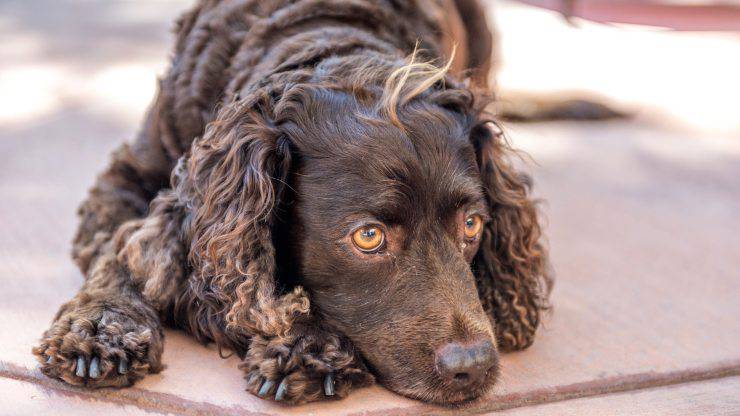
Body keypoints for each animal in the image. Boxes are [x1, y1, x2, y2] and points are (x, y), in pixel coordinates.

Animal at [34, 0, 552, 404]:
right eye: (368, 236)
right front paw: (100, 328)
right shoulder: (126, 179)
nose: (475, 366)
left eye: (472, 225)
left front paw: (306, 346)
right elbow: (120, 253)